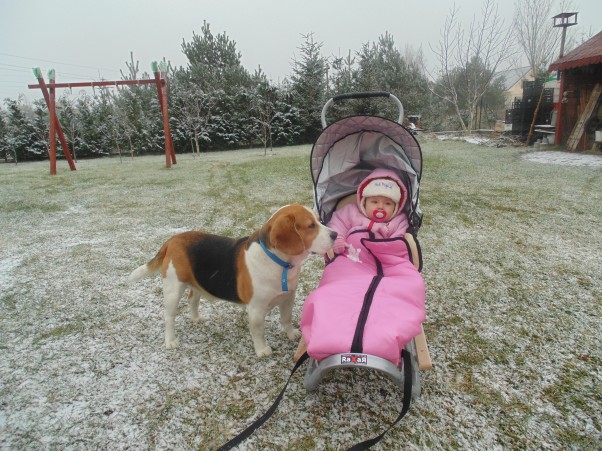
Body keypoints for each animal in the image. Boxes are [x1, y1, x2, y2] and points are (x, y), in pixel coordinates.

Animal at [128, 204, 336, 356]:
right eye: (310, 225)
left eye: (318, 220)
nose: (335, 234)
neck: (278, 262)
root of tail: (172, 240)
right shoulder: (256, 309)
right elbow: (258, 331)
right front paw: (262, 350)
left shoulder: (288, 297)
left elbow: (286, 318)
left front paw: (291, 334)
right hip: (173, 287)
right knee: (169, 316)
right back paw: (170, 341)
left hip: (195, 284)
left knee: (192, 300)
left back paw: (196, 319)